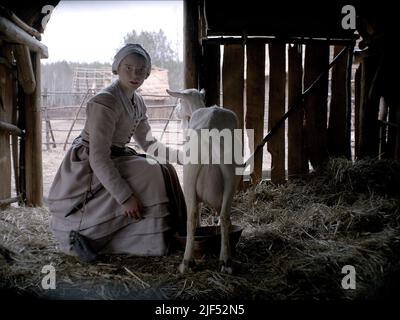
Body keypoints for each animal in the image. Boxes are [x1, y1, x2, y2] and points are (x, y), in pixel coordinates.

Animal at [166, 89, 241, 274]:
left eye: (180, 101)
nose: (176, 112)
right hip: (230, 176)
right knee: (224, 216)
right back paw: (225, 261)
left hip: (189, 176)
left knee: (192, 217)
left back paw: (187, 262)